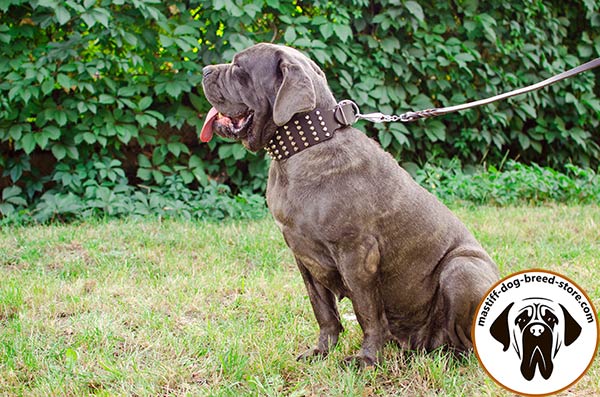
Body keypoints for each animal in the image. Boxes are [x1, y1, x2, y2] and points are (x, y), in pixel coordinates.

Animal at [199, 43, 500, 366]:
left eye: (239, 68)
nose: (205, 70)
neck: (305, 145)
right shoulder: (303, 257)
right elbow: (323, 310)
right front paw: (321, 351)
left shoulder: (358, 254)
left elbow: (367, 311)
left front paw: (367, 359)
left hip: (462, 268)